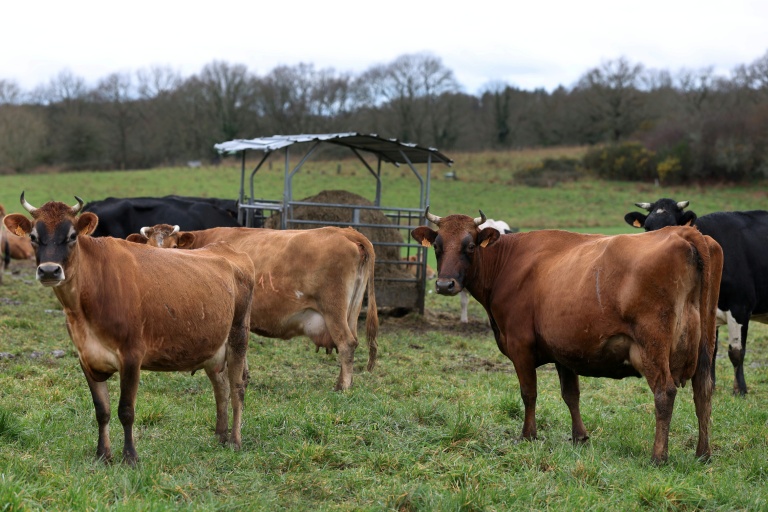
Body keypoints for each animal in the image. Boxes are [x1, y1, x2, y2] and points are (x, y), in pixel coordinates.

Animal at [126, 223, 378, 391]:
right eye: (149, 246)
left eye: (174, 245)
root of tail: (345, 231)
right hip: (351, 312)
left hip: (333, 310)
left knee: (346, 343)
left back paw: (343, 387)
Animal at [412, 208, 722, 464]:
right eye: (437, 246)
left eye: (470, 246)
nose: (445, 284)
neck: (508, 262)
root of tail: (685, 232)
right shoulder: (564, 350)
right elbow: (571, 395)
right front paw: (579, 436)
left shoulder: (520, 345)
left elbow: (529, 393)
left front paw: (528, 435)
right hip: (705, 344)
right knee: (703, 390)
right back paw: (703, 453)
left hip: (653, 345)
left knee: (664, 392)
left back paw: (659, 456)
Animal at [625, 198, 768, 395]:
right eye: (647, 227)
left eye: (673, 225)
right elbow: (711, 350)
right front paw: (710, 386)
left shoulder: (741, 308)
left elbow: (736, 352)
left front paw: (740, 390)